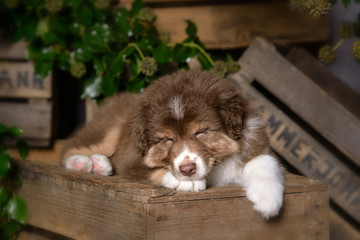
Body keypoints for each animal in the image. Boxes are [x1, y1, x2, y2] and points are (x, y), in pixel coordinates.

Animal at [63, 70, 286, 219]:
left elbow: (264, 160)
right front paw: (186, 182)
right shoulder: (130, 157)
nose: (187, 169)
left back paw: (100, 165)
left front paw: (267, 197)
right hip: (110, 129)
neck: (216, 167)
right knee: (71, 145)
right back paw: (80, 163)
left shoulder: (255, 139)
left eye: (200, 132)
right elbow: (150, 170)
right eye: (167, 139)